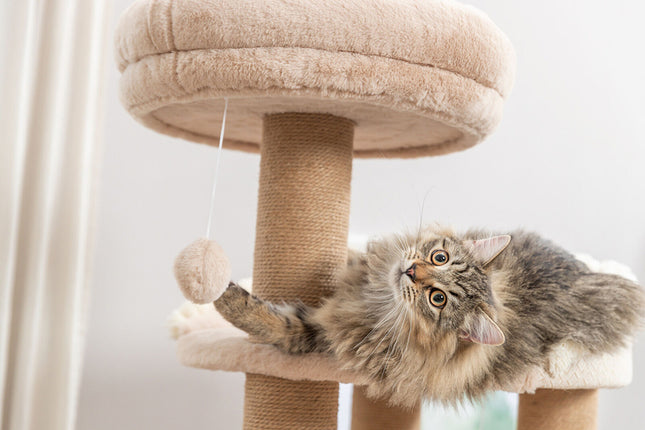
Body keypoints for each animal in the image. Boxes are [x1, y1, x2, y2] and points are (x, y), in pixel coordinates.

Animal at [214, 228, 640, 406]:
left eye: (437, 299)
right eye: (440, 257)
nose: (411, 272)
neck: (377, 302)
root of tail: (587, 270)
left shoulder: (322, 337)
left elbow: (275, 323)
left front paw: (219, 296)